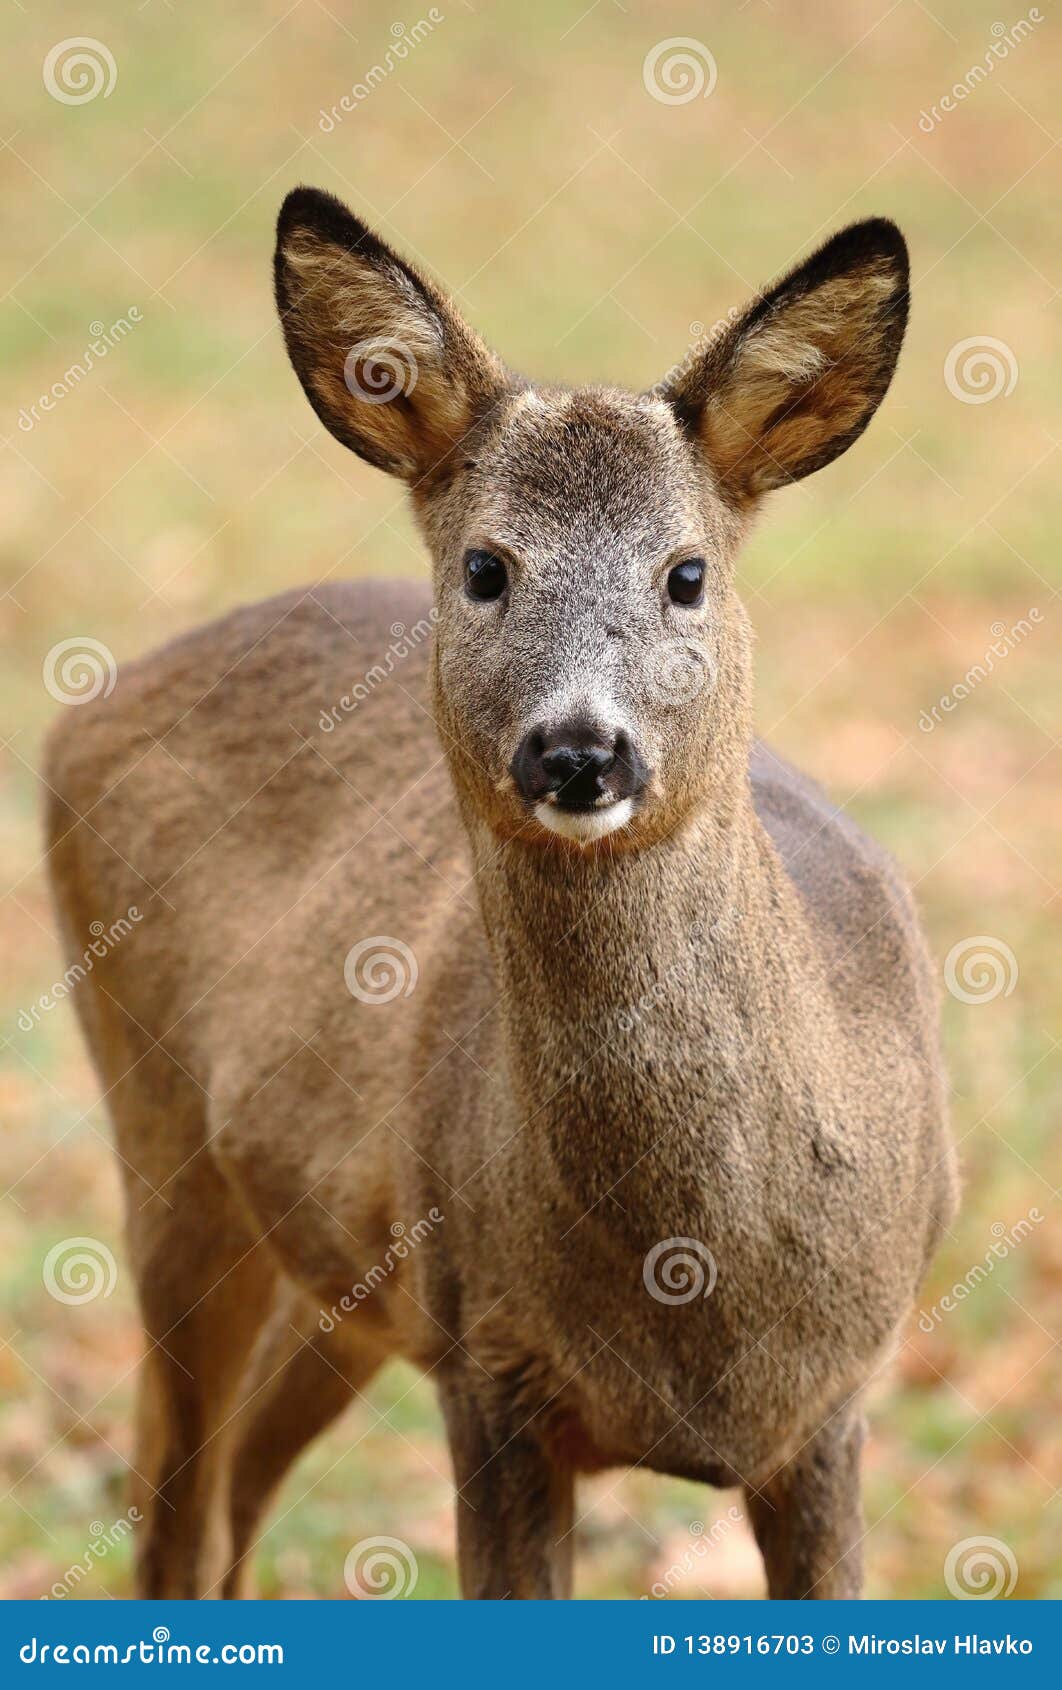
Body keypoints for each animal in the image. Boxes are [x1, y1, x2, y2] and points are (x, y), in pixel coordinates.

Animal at [44, 186, 958, 1601]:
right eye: (486, 567)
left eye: (686, 572)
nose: (578, 750)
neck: (696, 1292)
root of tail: (81, 713)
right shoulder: (492, 1370)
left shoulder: (834, 1408)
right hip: (168, 1146)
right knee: (174, 1513)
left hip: (350, 1270)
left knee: (235, 1486)